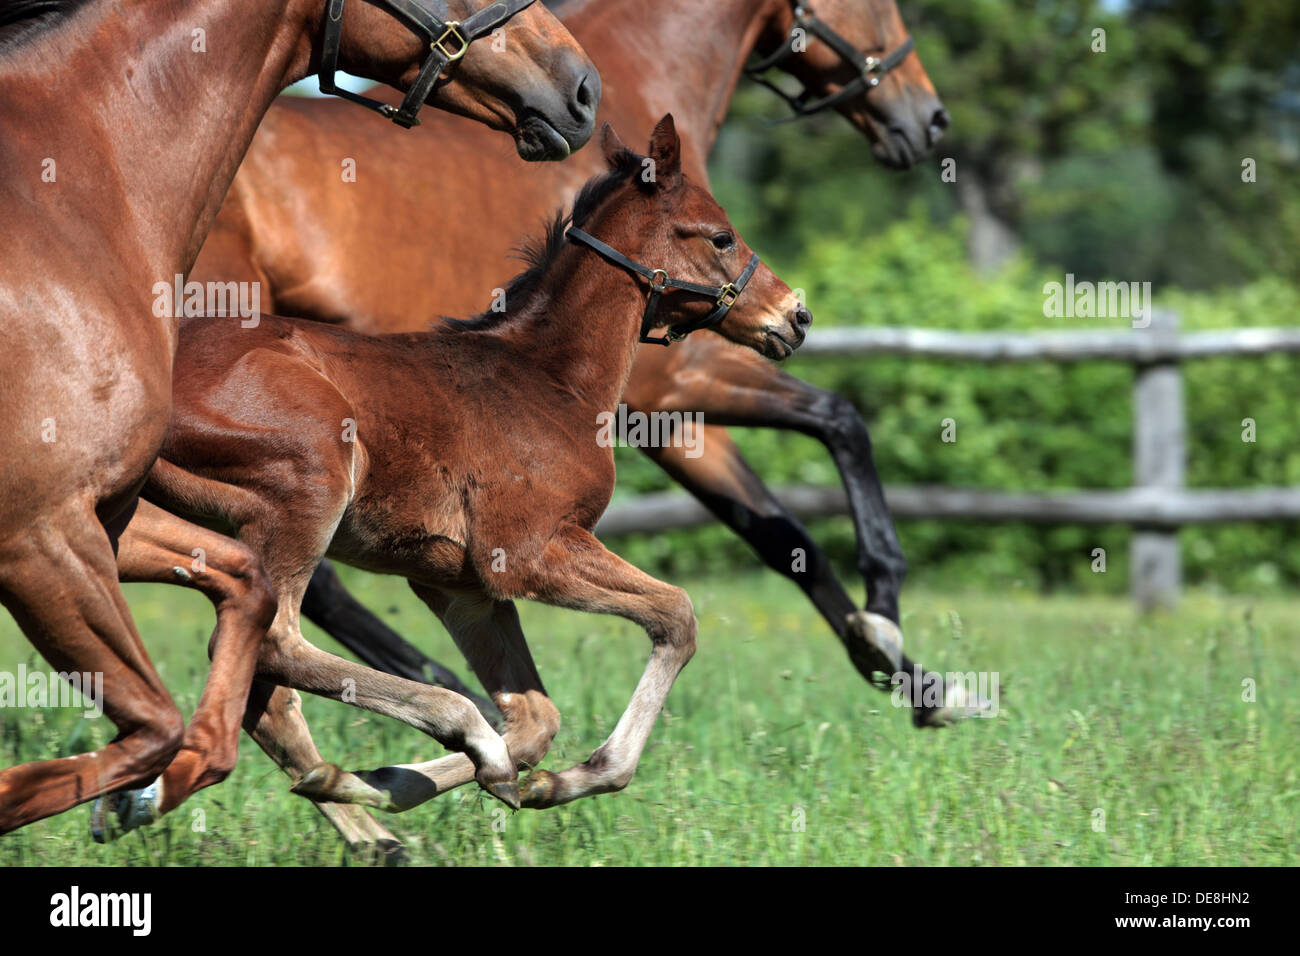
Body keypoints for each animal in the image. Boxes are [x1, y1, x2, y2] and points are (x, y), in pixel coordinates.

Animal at [0, 0, 598, 832]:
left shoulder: (102, 518)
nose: (583, 90)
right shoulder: (40, 532)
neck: (75, 203)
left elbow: (225, 637)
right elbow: (159, 724)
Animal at [129, 119, 800, 816]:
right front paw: (584, 773)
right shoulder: (529, 552)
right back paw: (443, 732)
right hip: (309, 482)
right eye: (721, 236)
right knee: (271, 640)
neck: (550, 379)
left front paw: (428, 781)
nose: (795, 315)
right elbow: (676, 616)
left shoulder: (461, 586)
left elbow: (535, 722)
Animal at [195, 0, 956, 723]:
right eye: (721, 236)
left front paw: (912, 680)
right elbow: (840, 420)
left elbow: (780, 532)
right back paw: (447, 695)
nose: (929, 120)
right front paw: (885, 621)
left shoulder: (667, 417)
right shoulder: (668, 389)